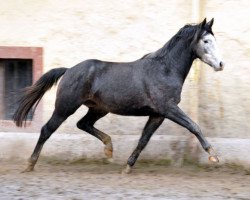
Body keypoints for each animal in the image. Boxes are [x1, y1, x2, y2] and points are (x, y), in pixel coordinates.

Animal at [13, 17, 225, 173]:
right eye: (206, 41)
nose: (221, 64)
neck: (165, 69)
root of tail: (69, 70)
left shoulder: (157, 114)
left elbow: (144, 140)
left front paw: (127, 167)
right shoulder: (168, 108)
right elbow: (193, 126)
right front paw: (213, 155)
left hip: (98, 109)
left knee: (83, 124)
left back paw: (109, 148)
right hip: (65, 107)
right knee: (47, 130)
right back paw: (30, 165)